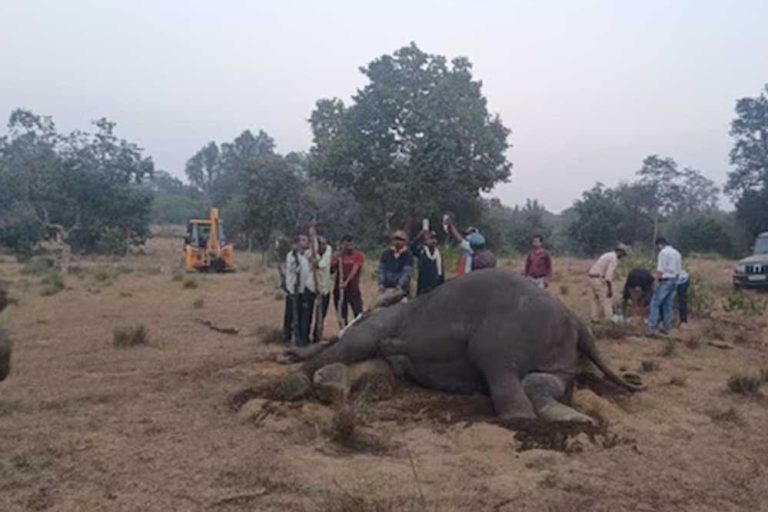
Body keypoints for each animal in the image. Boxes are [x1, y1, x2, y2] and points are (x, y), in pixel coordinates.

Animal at [276, 270, 640, 422]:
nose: (285, 352)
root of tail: (576, 319)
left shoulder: (381, 323)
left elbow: (357, 345)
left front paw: (293, 385)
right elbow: (381, 367)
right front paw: (328, 383)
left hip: (502, 334)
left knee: (501, 373)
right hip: (558, 354)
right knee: (541, 381)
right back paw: (574, 420)